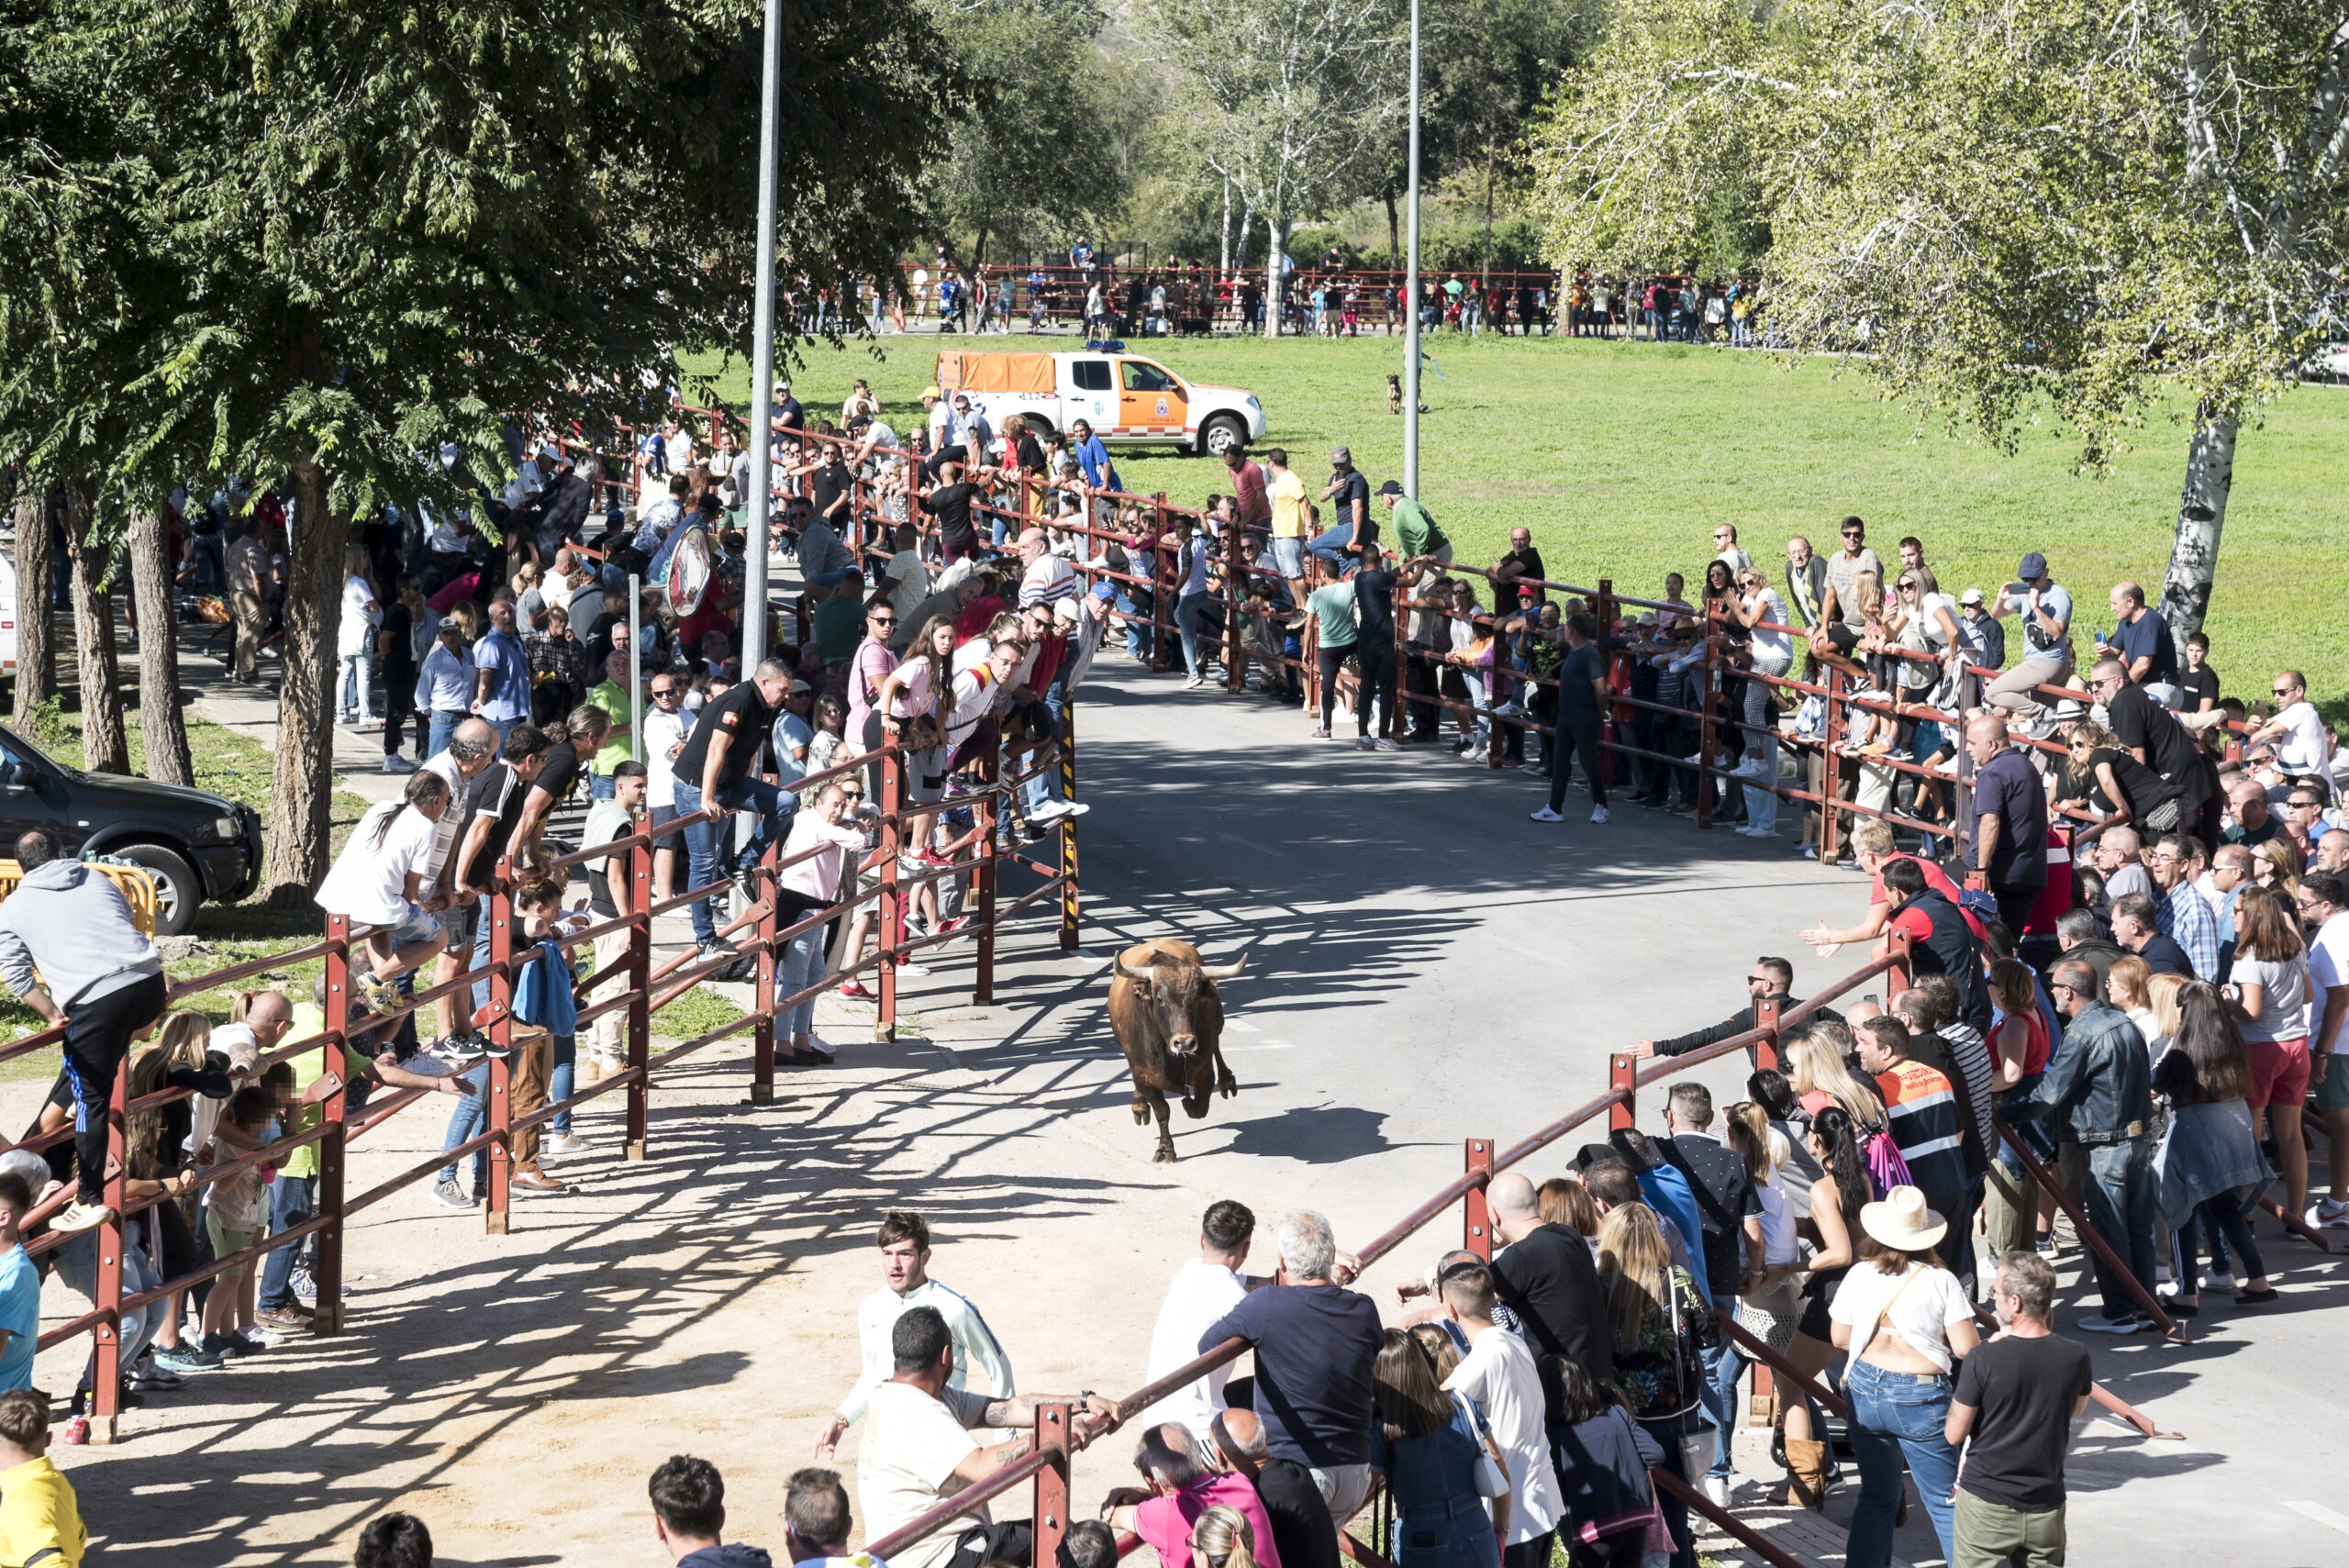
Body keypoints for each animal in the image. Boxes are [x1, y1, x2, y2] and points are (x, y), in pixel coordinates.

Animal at [1104, 939, 1240, 1159]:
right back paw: (1139, 1107)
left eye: (1195, 998)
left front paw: (1188, 1104)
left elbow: (1200, 1107)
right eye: (1160, 1000)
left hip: (1218, 1021)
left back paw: (1227, 1081)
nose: (1184, 1043)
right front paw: (1165, 1149)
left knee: (1217, 1043)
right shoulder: (1143, 1076)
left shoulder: (1204, 1071)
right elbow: (1162, 1111)